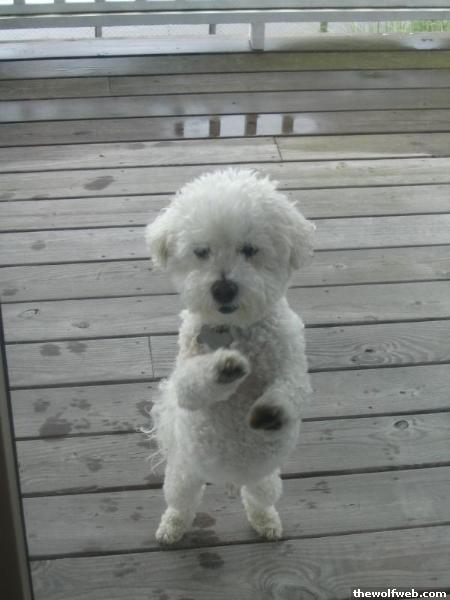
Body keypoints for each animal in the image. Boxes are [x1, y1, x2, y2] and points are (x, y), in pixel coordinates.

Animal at [145, 168, 315, 544]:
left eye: (249, 250)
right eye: (201, 252)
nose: (223, 288)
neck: (236, 330)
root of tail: (230, 478)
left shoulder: (293, 366)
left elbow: (290, 390)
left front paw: (270, 411)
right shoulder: (186, 382)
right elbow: (193, 384)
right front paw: (224, 368)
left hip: (265, 481)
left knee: (258, 501)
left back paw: (266, 522)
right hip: (183, 477)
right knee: (181, 505)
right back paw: (171, 527)